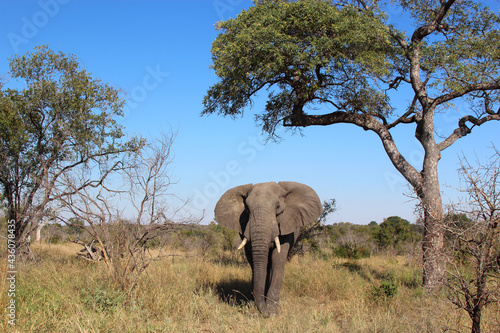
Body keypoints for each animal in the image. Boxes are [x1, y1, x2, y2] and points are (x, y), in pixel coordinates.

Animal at [213, 180, 322, 316]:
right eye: (247, 209)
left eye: (278, 207)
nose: (265, 313)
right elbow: (254, 260)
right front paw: (254, 305)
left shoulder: (287, 225)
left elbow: (278, 258)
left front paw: (273, 311)